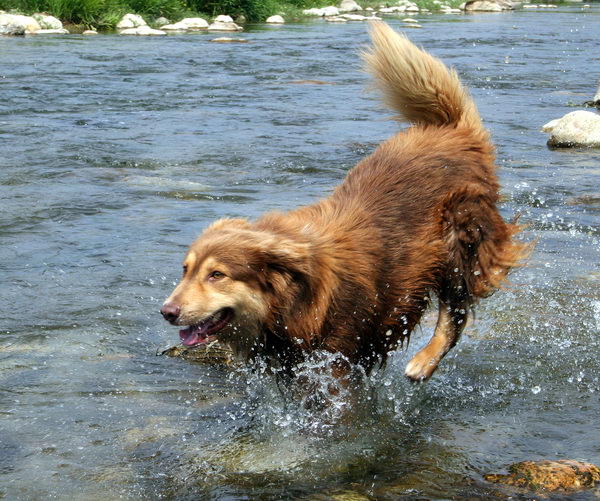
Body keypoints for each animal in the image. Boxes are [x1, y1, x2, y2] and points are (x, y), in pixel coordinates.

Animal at [161, 23, 528, 380]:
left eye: (217, 275)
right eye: (185, 270)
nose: (167, 312)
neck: (295, 295)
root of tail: (452, 129)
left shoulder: (337, 359)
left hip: (458, 240)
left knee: (456, 311)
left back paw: (424, 362)